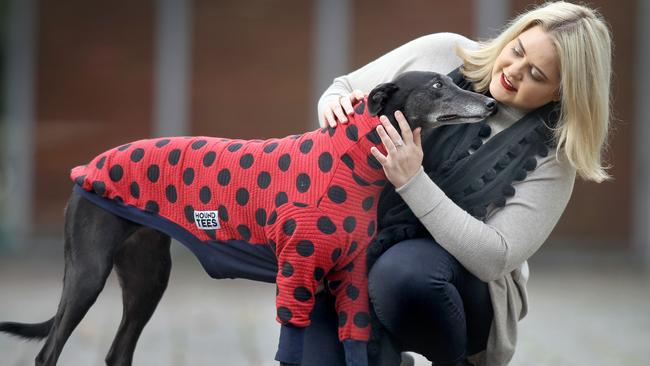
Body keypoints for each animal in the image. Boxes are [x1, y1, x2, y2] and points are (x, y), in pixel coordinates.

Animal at [0, 71, 494, 366]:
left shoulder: (350, 280)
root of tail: (87, 167)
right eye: (436, 87)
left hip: (147, 279)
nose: (489, 106)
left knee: (118, 352)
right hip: (88, 273)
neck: (347, 161)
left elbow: (356, 344)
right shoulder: (295, 279)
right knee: (48, 352)